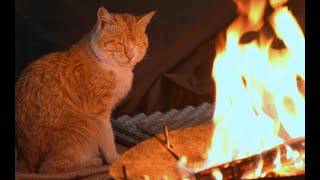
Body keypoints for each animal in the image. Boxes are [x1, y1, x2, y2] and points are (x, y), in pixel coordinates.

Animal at [15, 6, 156, 173]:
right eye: (120, 44)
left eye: (137, 45)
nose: (130, 56)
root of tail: (25, 161)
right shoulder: (100, 114)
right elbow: (108, 137)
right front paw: (113, 159)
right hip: (88, 123)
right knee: (49, 169)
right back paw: (93, 161)